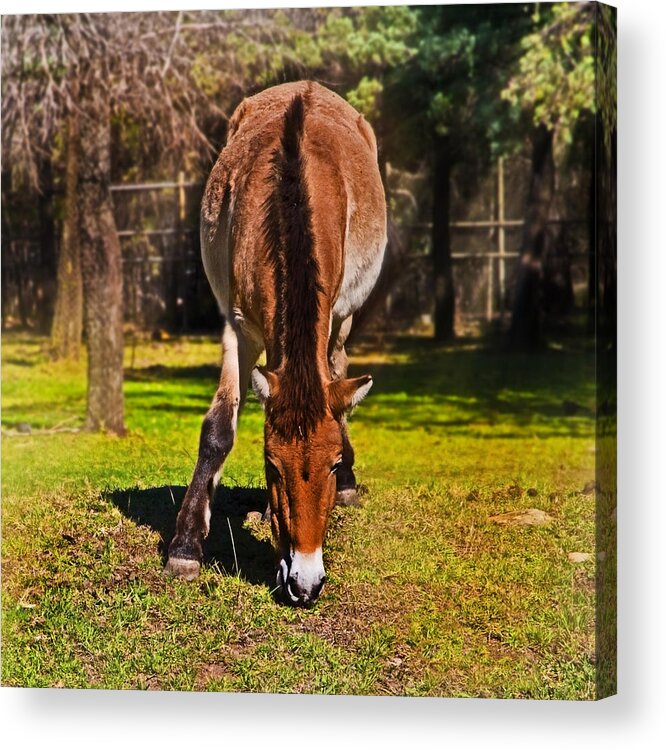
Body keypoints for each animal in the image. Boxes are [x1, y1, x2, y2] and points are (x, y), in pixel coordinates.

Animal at [163, 82, 386, 608]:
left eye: (332, 465)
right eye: (271, 465)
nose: (306, 584)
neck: (291, 190)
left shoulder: (327, 317)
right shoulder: (238, 327)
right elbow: (219, 428)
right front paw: (186, 545)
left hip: (343, 320)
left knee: (339, 369)